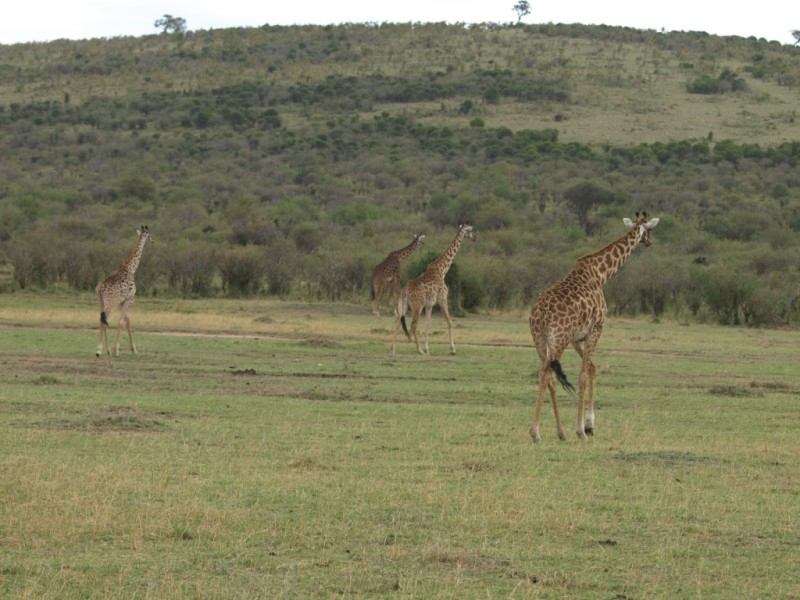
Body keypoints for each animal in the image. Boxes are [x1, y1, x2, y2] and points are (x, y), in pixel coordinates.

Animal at [95, 225, 153, 356]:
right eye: (149, 234)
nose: (152, 241)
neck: (130, 268)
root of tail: (100, 289)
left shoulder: (123, 301)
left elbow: (127, 321)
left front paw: (134, 349)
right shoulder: (129, 298)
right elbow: (121, 322)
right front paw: (117, 349)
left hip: (101, 302)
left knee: (102, 320)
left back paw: (107, 350)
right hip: (111, 303)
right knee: (104, 321)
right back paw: (99, 350)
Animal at [392, 225, 476, 356]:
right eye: (469, 230)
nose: (475, 237)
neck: (442, 270)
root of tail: (404, 291)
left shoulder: (429, 305)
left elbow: (428, 324)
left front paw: (427, 349)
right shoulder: (443, 299)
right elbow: (450, 321)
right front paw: (452, 349)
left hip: (404, 305)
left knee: (398, 321)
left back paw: (393, 349)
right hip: (417, 305)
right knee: (413, 324)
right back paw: (419, 350)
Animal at [528, 213, 660, 442]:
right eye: (650, 230)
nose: (649, 241)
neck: (600, 274)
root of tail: (540, 313)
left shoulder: (577, 337)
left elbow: (591, 368)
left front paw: (589, 425)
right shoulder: (596, 328)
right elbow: (583, 375)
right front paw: (582, 430)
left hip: (540, 339)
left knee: (547, 375)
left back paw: (560, 432)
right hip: (558, 338)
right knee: (546, 374)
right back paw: (535, 433)